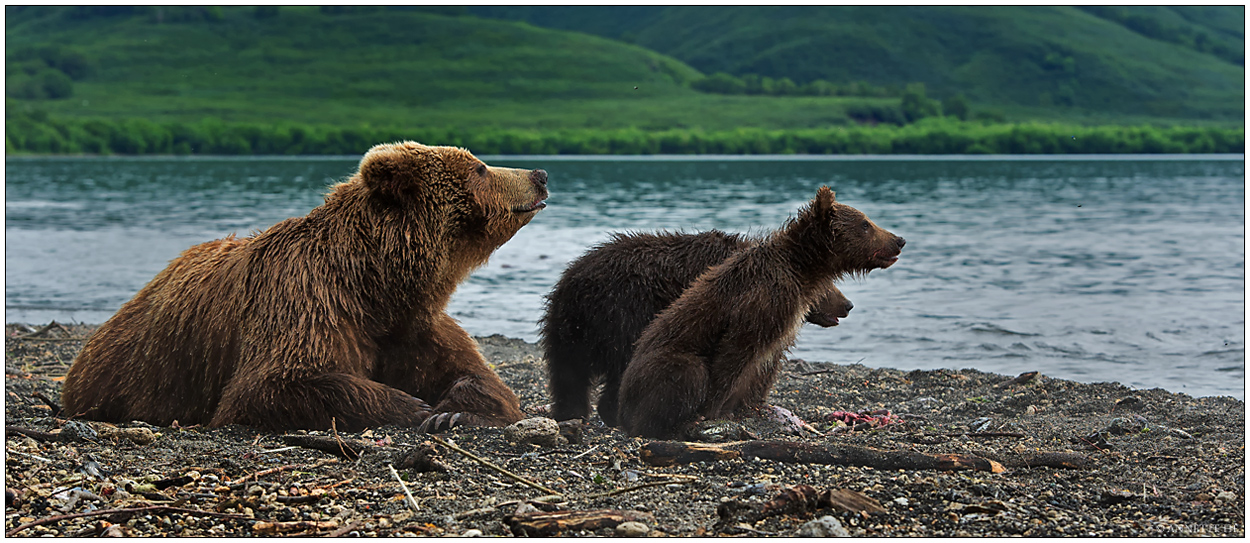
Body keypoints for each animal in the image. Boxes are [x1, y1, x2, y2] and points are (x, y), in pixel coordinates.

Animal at [60, 140, 545, 432]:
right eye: (480, 168)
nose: (539, 174)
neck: (374, 284)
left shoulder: (412, 325)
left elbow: (478, 374)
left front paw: (452, 409)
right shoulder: (305, 299)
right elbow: (271, 386)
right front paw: (413, 406)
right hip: (136, 370)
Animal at [537, 231, 850, 425]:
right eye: (829, 287)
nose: (847, 305)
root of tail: (572, 284)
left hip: (566, 331)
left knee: (567, 376)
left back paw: (571, 413)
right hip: (622, 316)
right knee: (621, 368)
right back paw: (613, 414)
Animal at [617, 185, 905, 437]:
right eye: (865, 224)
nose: (899, 240)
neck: (801, 268)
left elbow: (755, 369)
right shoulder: (762, 300)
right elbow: (732, 355)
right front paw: (711, 412)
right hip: (655, 368)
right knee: (687, 374)